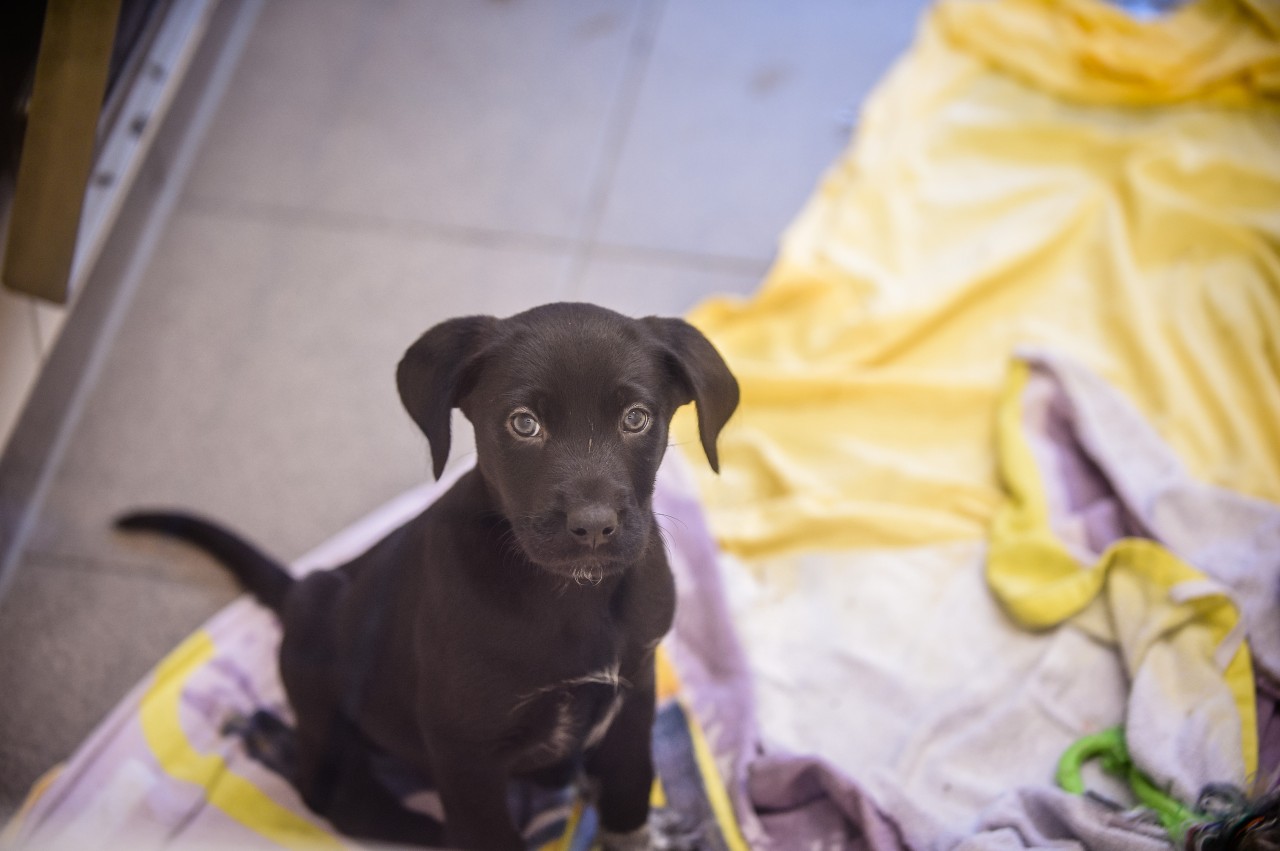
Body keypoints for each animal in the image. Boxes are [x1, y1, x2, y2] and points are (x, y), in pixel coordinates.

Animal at [122, 303, 742, 849]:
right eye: (524, 424)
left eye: (636, 418)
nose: (592, 526)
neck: (571, 597)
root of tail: (298, 590)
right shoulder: (464, 747)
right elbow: (488, 835)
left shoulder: (634, 690)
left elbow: (630, 787)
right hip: (324, 670)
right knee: (343, 798)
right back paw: (278, 744)